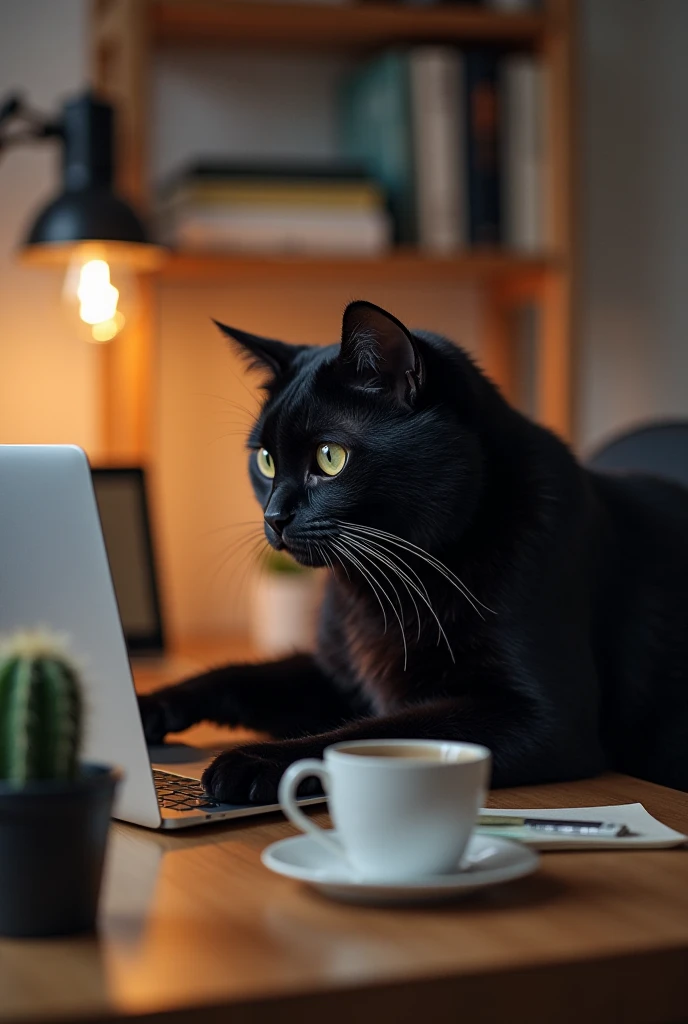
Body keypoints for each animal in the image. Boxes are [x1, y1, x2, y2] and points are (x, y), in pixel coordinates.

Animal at [139, 299, 688, 802]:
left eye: (330, 458)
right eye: (266, 461)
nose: (273, 517)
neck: (393, 588)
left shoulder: (543, 717)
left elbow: (372, 735)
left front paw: (253, 762)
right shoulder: (338, 677)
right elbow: (236, 675)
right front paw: (145, 707)